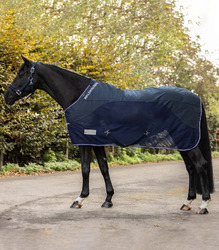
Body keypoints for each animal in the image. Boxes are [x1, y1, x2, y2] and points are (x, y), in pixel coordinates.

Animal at [4, 55, 215, 214]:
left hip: (186, 141)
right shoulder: (96, 141)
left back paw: (203, 205)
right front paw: (108, 199)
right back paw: (187, 203)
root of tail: (196, 97)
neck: (80, 96)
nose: (7, 96)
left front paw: (79, 199)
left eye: (22, 73)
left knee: (200, 165)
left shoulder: (85, 140)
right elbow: (104, 168)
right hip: (183, 141)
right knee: (190, 168)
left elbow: (85, 169)